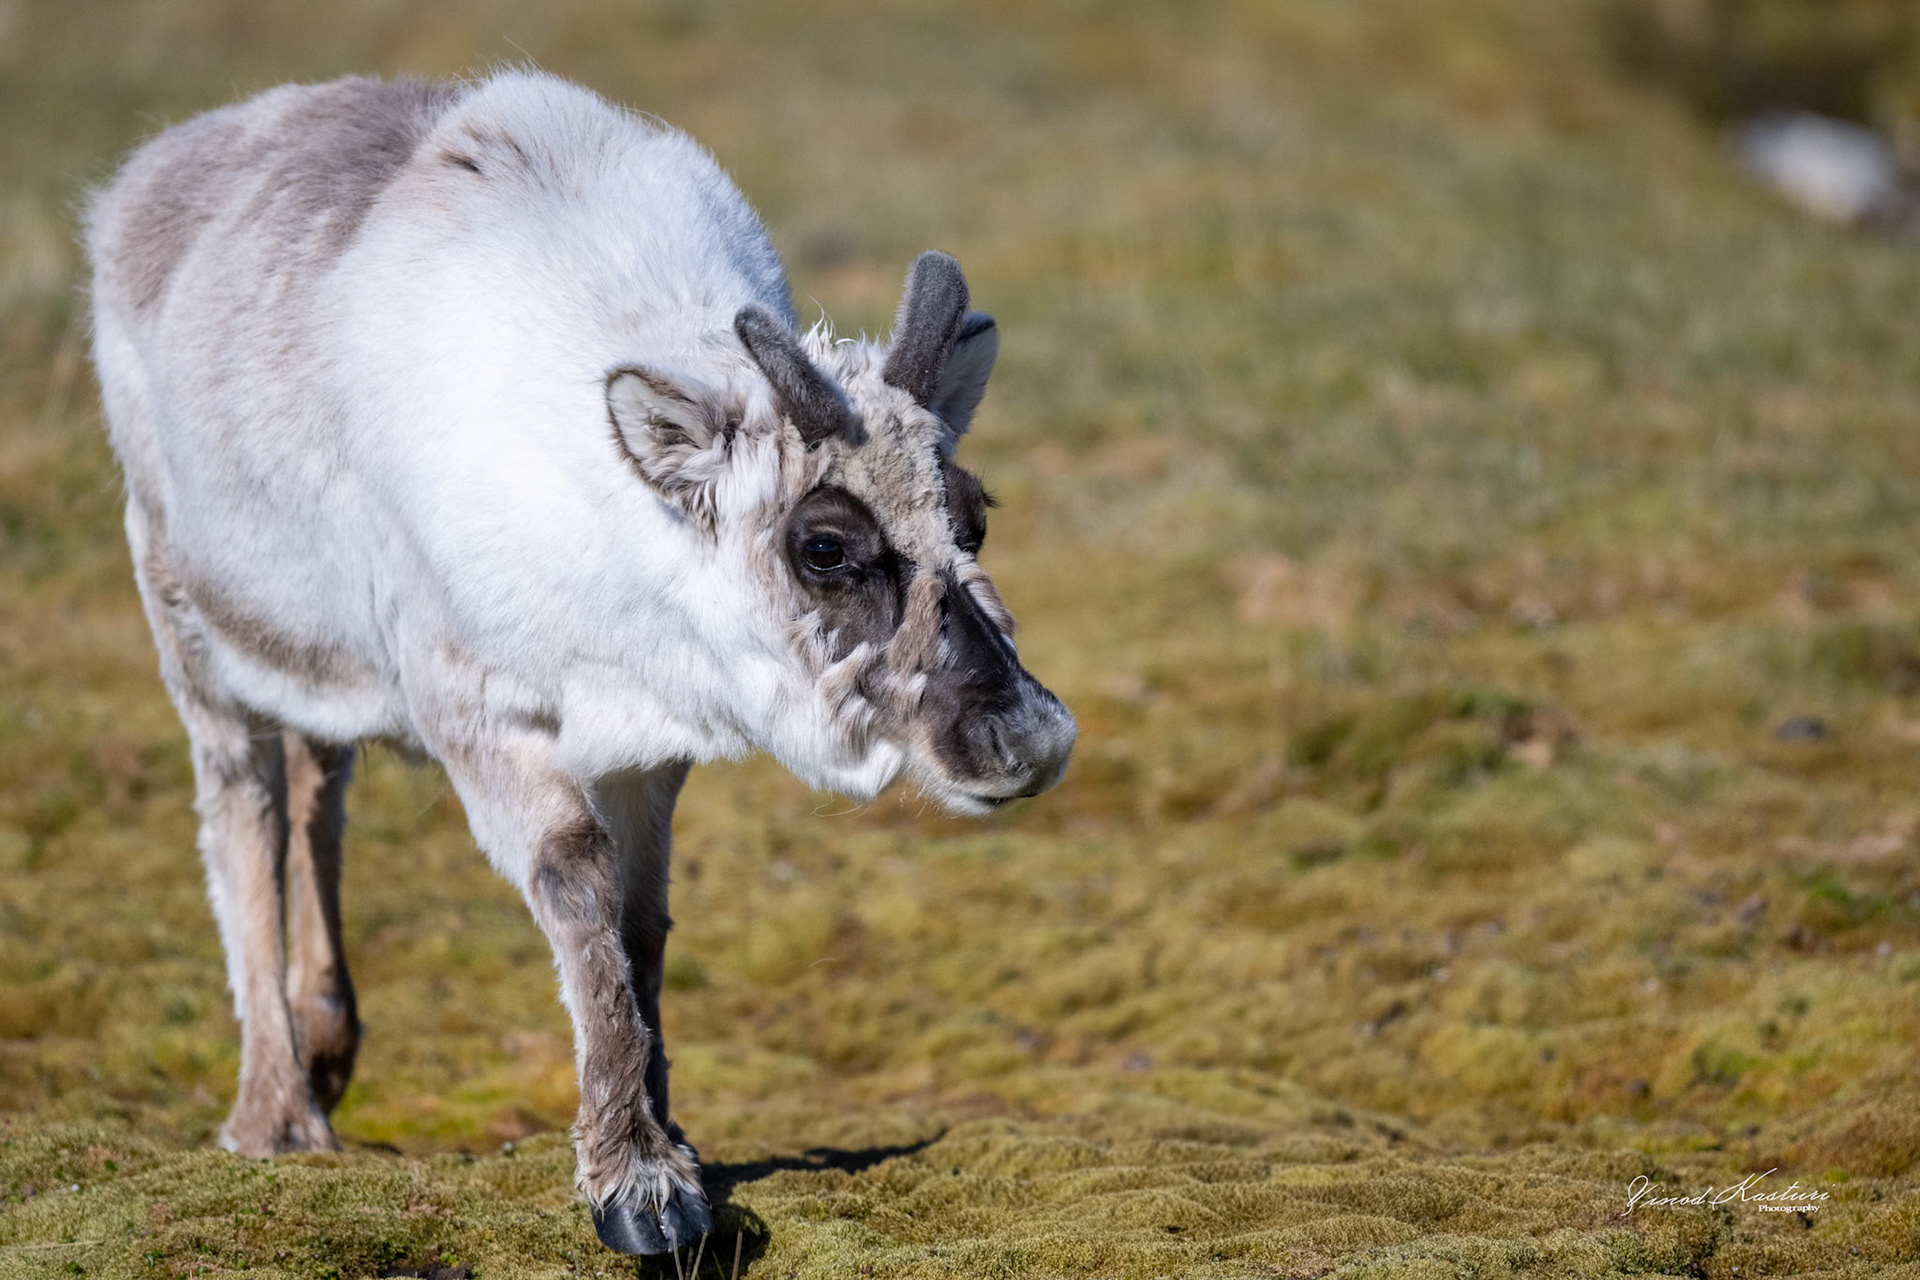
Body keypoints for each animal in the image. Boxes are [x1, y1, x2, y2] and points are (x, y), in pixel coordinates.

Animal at [84, 70, 1075, 1256]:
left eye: (974, 514)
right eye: (825, 546)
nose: (1028, 736)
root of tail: (144, 176)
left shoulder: (651, 746)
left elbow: (640, 921)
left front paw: (673, 1134)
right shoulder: (478, 711)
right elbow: (577, 884)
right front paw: (635, 1182)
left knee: (324, 775)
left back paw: (329, 1049)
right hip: (182, 611)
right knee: (246, 805)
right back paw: (276, 1113)